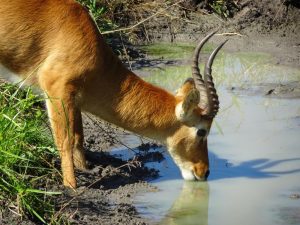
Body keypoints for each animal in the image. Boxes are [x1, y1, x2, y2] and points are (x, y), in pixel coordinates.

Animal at [0, 0, 225, 188]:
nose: (204, 172)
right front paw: (71, 187)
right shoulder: (57, 91)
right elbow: (65, 141)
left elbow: (78, 138)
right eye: (202, 131)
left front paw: (86, 170)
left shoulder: (75, 99)